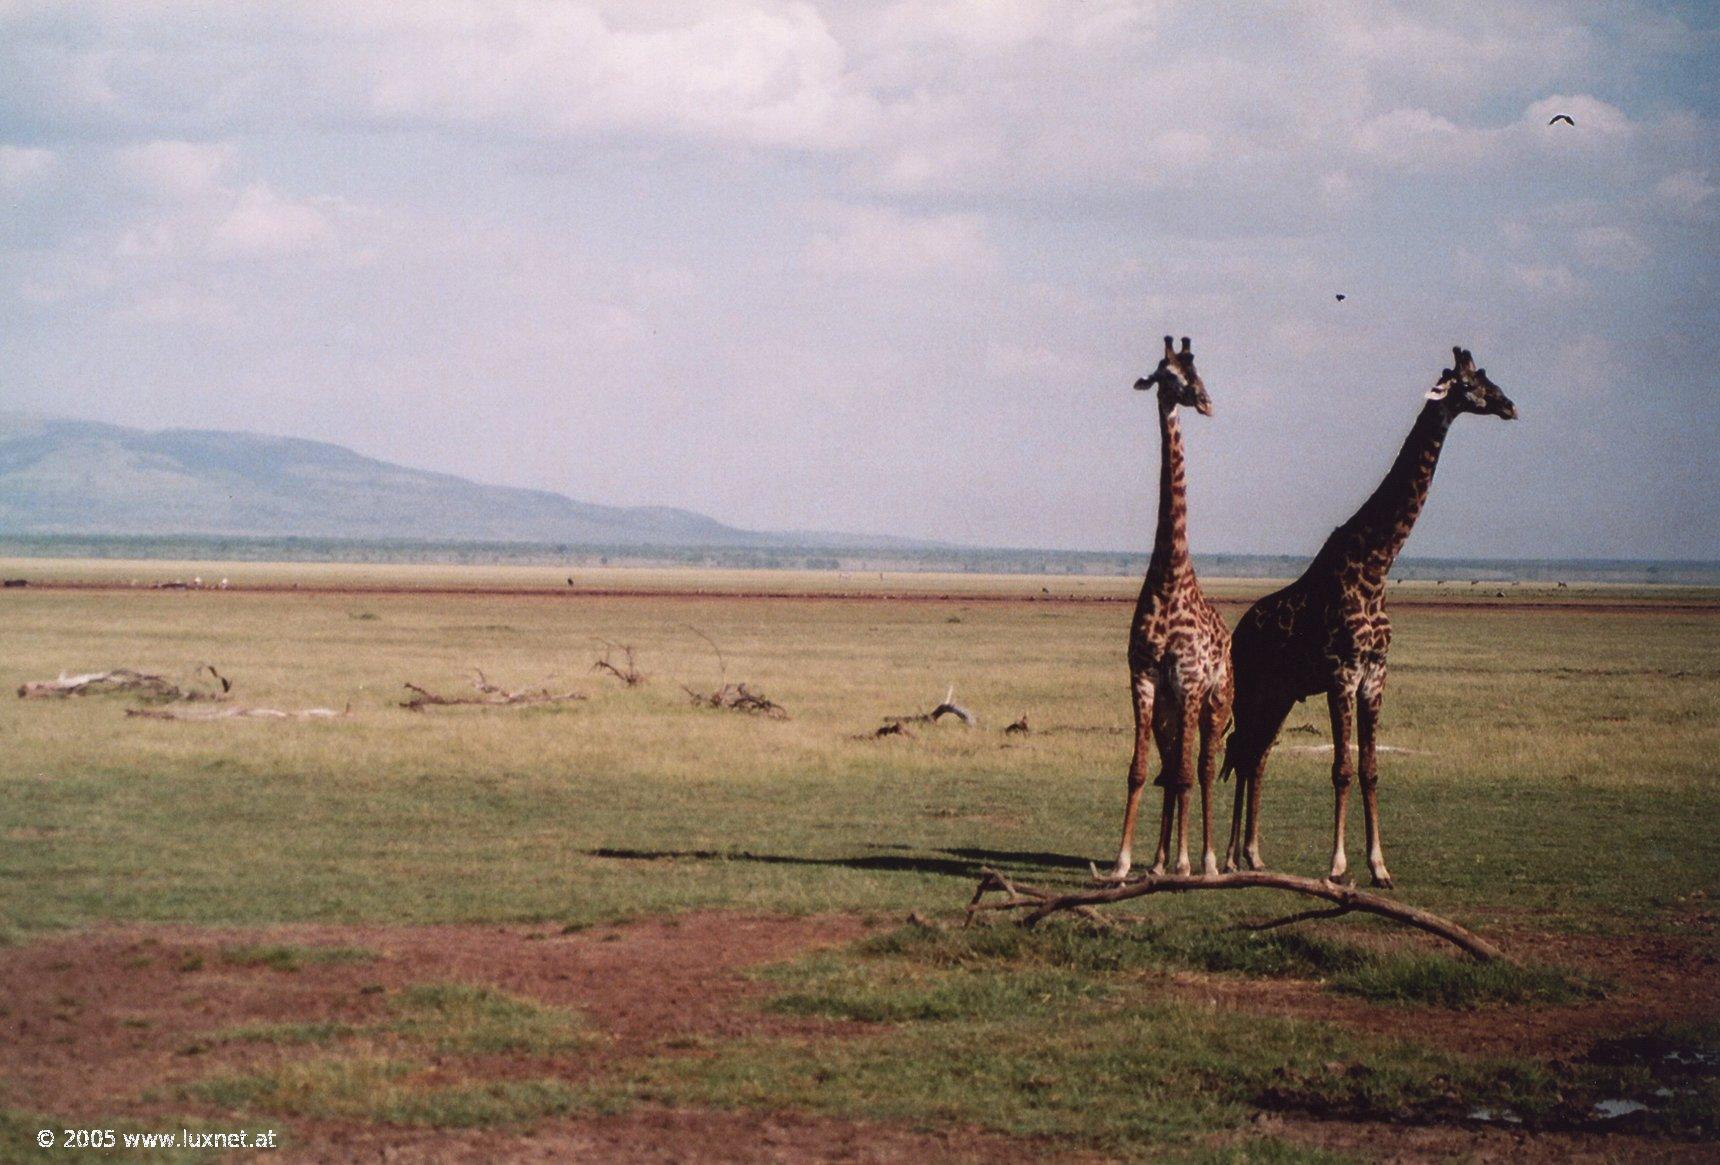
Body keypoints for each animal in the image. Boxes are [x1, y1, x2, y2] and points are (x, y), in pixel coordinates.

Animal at [1093, 332, 1231, 877]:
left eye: (1197, 369)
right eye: (1168, 375)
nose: (1206, 401)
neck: (1170, 575)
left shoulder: (1190, 683)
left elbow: (1190, 775)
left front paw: (1190, 862)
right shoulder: (1146, 678)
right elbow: (1139, 770)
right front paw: (1123, 863)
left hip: (1216, 701)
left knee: (1204, 767)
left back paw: (1207, 860)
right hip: (1172, 709)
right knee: (1172, 767)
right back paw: (1159, 861)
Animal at [1224, 345, 1520, 881]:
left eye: (1489, 377)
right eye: (1470, 385)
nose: (1509, 405)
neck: (1377, 565)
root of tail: (1238, 632)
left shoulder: (1376, 674)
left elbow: (1370, 769)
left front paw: (1380, 866)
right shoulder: (1343, 673)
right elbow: (1341, 769)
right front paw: (1338, 865)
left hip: (1281, 693)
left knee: (1255, 754)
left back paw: (1250, 855)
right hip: (1254, 687)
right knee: (1239, 749)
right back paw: (1228, 856)